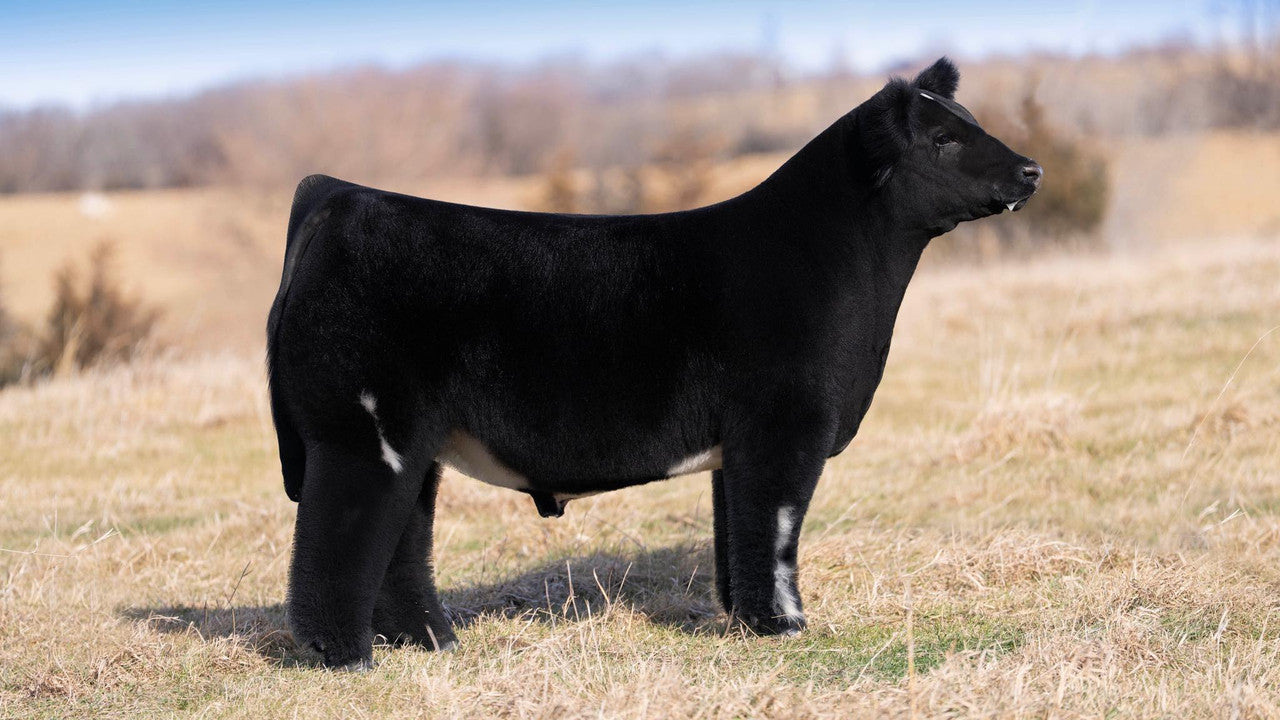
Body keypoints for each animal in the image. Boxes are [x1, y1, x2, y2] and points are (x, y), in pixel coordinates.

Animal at [266, 57, 1042, 669]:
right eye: (943, 140)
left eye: (970, 120)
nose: (1031, 170)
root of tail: (340, 197)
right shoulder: (786, 425)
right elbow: (776, 527)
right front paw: (785, 625)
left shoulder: (741, 445)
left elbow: (737, 532)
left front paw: (744, 620)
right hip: (362, 434)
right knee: (340, 543)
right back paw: (346, 658)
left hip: (413, 444)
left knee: (400, 542)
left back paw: (434, 642)